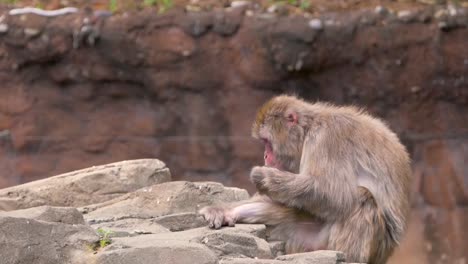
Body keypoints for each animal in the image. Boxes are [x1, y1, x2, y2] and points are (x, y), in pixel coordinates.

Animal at [199, 95, 412, 264]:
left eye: (267, 142)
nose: (265, 156)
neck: (309, 128)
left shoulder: (326, 139)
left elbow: (333, 194)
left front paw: (264, 177)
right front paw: (222, 210)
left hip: (373, 247)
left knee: (362, 198)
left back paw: (348, 257)